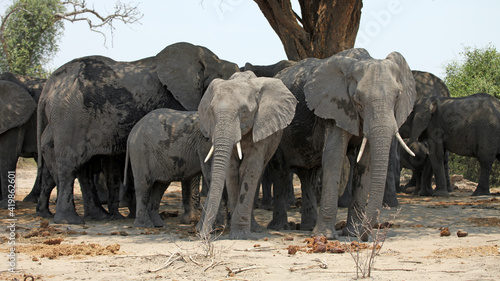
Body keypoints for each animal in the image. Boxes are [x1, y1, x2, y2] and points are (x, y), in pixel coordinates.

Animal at [37, 41, 240, 223]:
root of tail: (48, 85)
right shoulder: (179, 101)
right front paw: (191, 219)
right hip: (69, 116)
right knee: (69, 165)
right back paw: (70, 220)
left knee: (83, 168)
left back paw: (99, 216)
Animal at [195, 70, 296, 238]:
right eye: (211, 112)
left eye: (244, 111)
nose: (204, 236)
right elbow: (231, 171)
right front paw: (235, 232)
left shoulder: (262, 125)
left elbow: (250, 169)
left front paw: (239, 235)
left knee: (258, 173)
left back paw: (255, 228)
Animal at [270, 47, 418, 238]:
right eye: (358, 98)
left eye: (398, 95)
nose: (365, 235)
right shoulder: (334, 108)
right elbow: (334, 156)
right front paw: (325, 236)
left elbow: (366, 162)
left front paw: (352, 234)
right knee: (279, 171)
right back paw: (280, 227)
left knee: (307, 175)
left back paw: (308, 227)